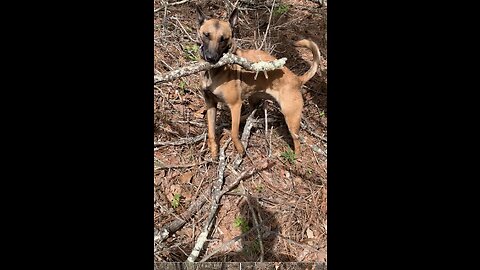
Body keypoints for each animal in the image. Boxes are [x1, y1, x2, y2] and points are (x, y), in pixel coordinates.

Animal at [195, 6, 322, 159]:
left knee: (296, 140)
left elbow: (234, 133)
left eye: (223, 39)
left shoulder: (235, 105)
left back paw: (295, 156)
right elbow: (212, 132)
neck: (215, 72)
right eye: (206, 35)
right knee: (250, 111)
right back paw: (243, 119)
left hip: (291, 117)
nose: (211, 58)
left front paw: (240, 149)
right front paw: (214, 151)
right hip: (253, 98)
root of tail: (297, 79)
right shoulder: (210, 104)